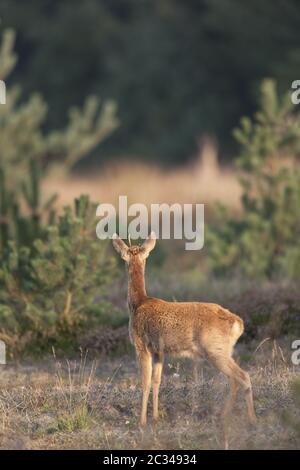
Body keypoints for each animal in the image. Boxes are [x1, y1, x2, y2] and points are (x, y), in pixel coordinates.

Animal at [111, 231, 256, 448]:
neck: (138, 304)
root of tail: (237, 322)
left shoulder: (141, 346)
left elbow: (144, 382)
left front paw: (141, 422)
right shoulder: (159, 351)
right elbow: (156, 381)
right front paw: (155, 419)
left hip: (215, 350)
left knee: (243, 376)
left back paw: (249, 421)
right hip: (222, 351)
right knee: (235, 379)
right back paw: (227, 417)